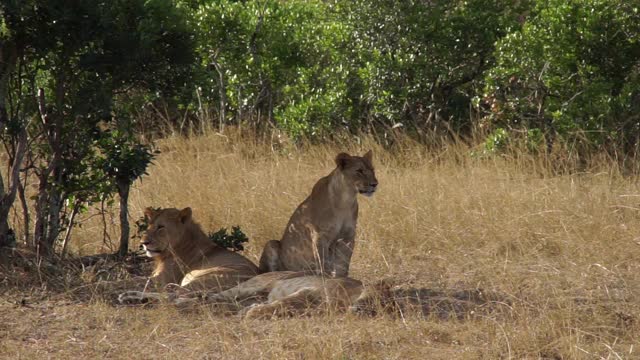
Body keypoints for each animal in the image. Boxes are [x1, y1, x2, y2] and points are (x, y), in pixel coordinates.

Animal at [256, 150, 376, 278]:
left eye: (372, 170)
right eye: (359, 171)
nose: (375, 184)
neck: (346, 199)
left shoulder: (348, 236)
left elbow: (343, 263)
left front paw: (342, 278)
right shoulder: (319, 234)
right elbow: (322, 260)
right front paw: (325, 278)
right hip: (271, 244)